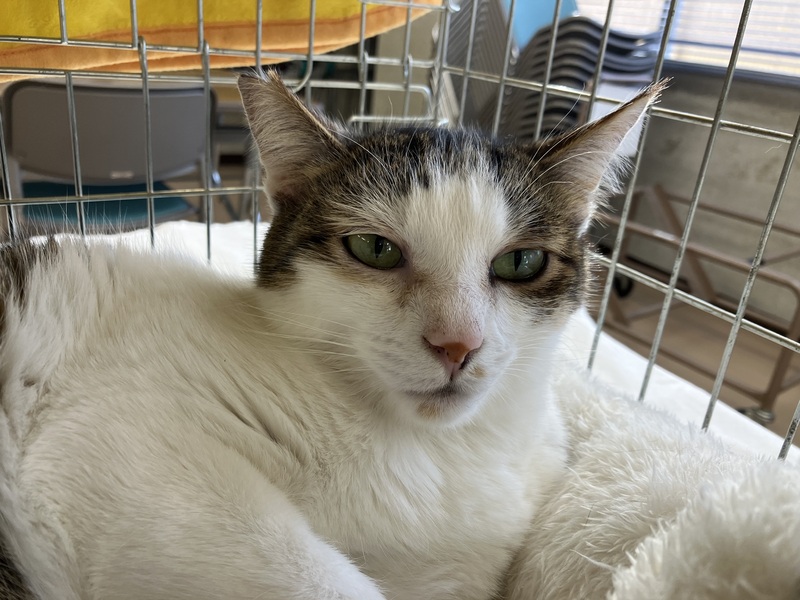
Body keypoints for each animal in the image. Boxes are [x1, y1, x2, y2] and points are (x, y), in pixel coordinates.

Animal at [0, 71, 661, 600]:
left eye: (521, 262)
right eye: (374, 249)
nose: (458, 344)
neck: (440, 450)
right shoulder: (121, 447)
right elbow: (326, 583)